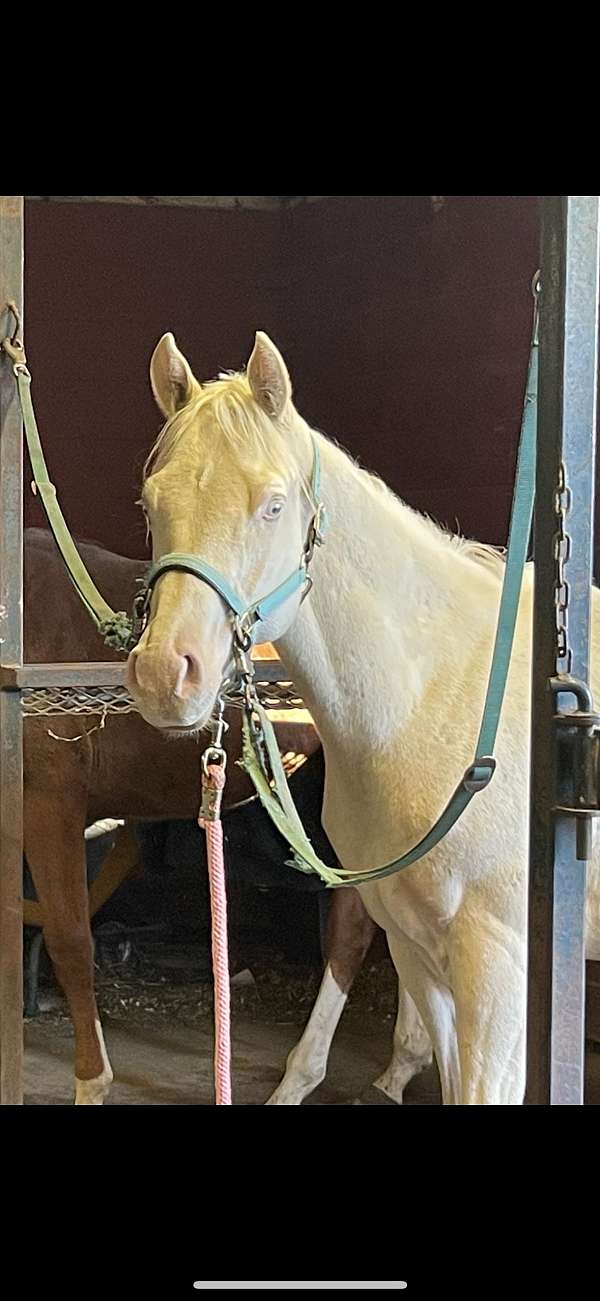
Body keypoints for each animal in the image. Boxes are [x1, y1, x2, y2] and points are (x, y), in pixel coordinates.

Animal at [24, 529, 431, 1103]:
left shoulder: (50, 802)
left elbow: (71, 942)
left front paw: (90, 1083)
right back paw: (397, 1067)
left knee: (354, 928)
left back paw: (301, 1078)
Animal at [127, 328, 600, 1105]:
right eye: (149, 502)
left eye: (274, 504)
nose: (167, 674)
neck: (437, 701)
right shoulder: (415, 948)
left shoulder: (500, 970)